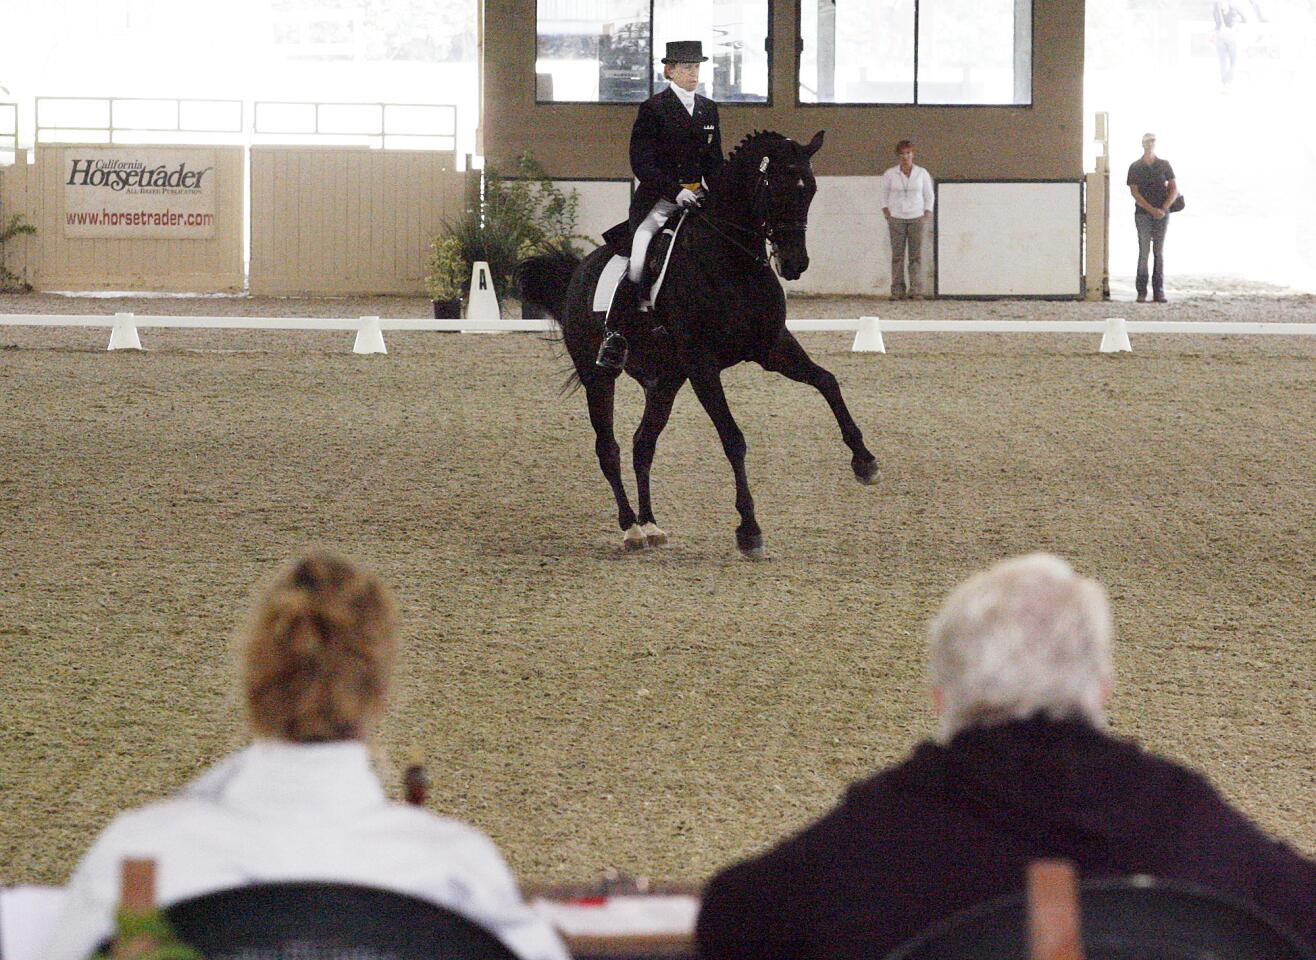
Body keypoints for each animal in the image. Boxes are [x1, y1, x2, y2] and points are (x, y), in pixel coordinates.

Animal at [518, 131, 879, 558]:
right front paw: (749, 530)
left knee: (642, 445)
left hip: (665, 382)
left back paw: (651, 525)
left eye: (810, 189)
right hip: (598, 377)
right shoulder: (703, 366)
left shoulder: (771, 348)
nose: (795, 264)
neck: (732, 262)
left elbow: (827, 382)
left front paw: (865, 462)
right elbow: (733, 440)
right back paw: (630, 529)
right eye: (776, 187)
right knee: (609, 448)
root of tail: (578, 273)